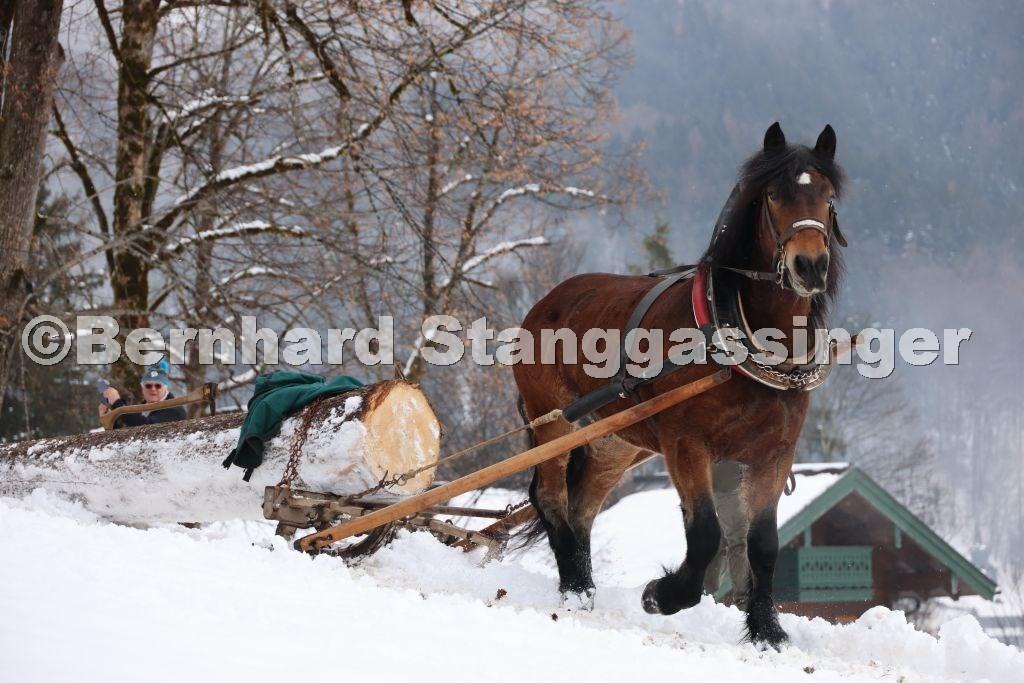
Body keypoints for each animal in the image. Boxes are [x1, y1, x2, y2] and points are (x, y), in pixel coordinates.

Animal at [512, 122, 846, 648]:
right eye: (774, 195)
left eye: (828, 197)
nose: (809, 266)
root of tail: (544, 303)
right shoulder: (688, 444)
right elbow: (707, 532)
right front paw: (662, 595)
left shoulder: (774, 453)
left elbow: (763, 543)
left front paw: (767, 630)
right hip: (553, 425)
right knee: (551, 498)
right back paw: (573, 590)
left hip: (614, 440)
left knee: (582, 506)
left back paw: (583, 584)